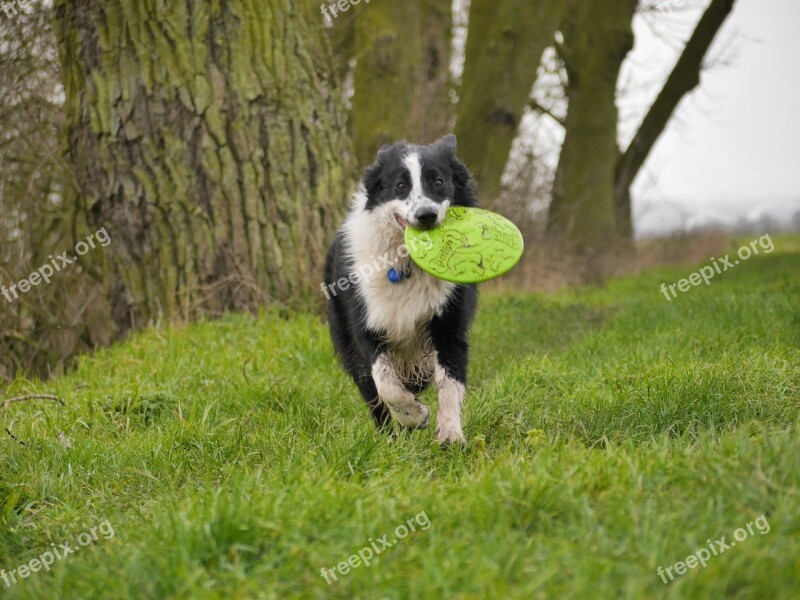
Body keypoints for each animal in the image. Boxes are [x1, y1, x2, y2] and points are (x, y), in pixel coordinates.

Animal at [324, 136, 478, 446]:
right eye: (400, 185)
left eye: (439, 181)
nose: (426, 215)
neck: (409, 262)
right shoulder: (366, 325)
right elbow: (385, 382)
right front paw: (413, 415)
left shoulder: (448, 322)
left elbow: (450, 379)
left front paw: (450, 435)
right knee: (373, 392)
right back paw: (390, 439)